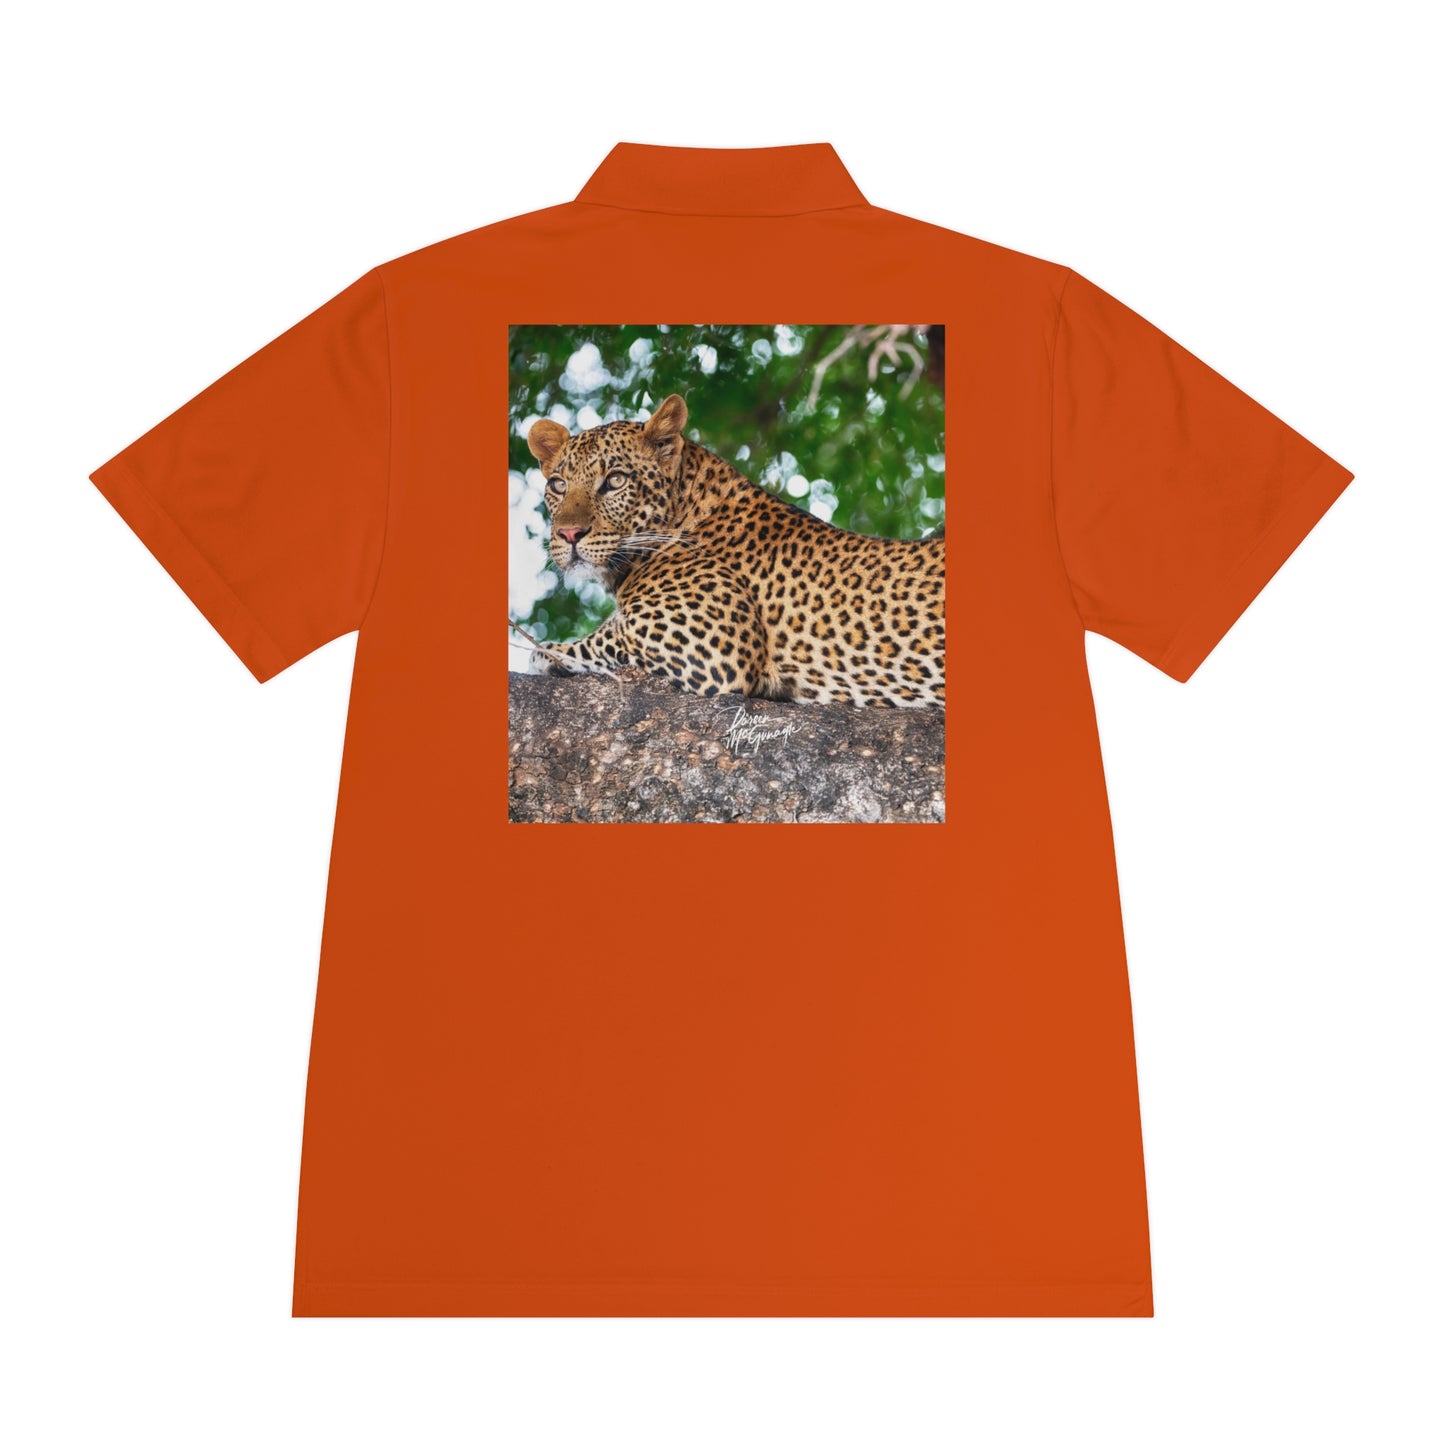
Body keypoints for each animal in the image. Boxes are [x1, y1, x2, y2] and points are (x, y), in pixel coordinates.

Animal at [524, 393, 945, 707]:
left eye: (614, 480)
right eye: (559, 485)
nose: (569, 534)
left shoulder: (707, 644)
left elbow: (603, 639)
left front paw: (546, 651)